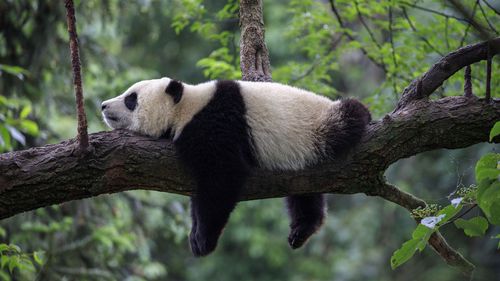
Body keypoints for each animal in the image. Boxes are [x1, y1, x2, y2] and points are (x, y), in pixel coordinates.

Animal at [100, 77, 372, 256]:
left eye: (131, 99)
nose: (103, 105)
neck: (187, 106)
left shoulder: (216, 125)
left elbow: (222, 178)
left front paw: (203, 240)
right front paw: (195, 234)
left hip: (320, 126)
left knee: (349, 116)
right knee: (304, 192)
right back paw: (302, 229)